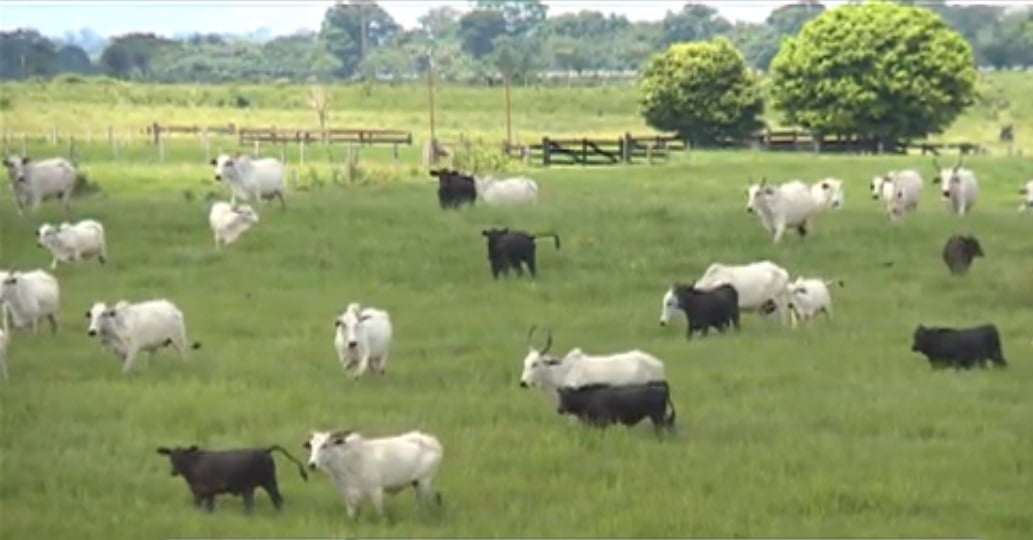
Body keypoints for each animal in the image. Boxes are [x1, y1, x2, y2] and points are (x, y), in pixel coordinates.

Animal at [152, 443, 305, 516]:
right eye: (171, 457)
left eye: (183, 456)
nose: (173, 472)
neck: (194, 465)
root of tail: (264, 449)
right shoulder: (207, 493)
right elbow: (207, 508)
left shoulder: (204, 491)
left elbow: (203, 507)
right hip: (258, 485)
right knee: (264, 502)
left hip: (265, 483)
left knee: (274, 500)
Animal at [301, 429, 440, 522]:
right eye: (311, 446)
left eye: (325, 445)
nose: (312, 464)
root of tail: (432, 441)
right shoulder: (348, 497)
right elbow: (351, 516)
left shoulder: (376, 491)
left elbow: (380, 513)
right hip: (417, 484)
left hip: (424, 482)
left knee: (424, 504)